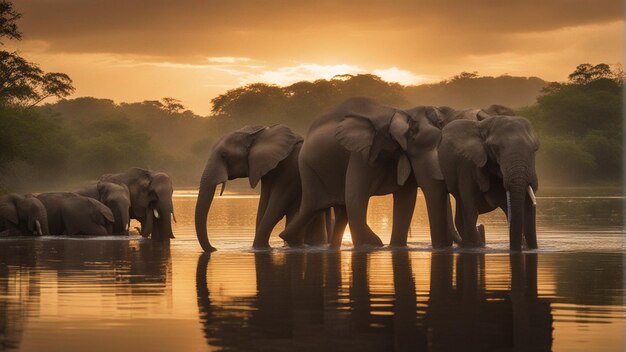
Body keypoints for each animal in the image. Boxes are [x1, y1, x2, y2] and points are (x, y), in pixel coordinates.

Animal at [194, 124, 332, 250]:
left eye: (223, 155)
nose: (214, 248)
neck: (259, 135)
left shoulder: (291, 169)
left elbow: (276, 207)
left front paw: (259, 248)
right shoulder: (265, 169)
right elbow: (263, 204)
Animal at [280, 97, 456, 249]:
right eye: (412, 138)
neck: (397, 113)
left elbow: (406, 199)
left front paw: (395, 247)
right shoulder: (361, 154)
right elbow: (356, 199)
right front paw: (373, 245)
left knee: (336, 209)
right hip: (308, 168)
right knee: (314, 207)